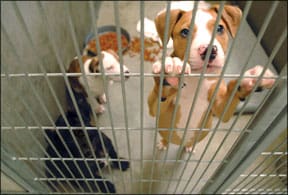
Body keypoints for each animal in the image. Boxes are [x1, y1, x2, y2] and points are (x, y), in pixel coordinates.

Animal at [147, 1, 276, 152]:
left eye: (220, 28)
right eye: (185, 32)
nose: (209, 50)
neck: (197, 79)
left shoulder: (221, 109)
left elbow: (230, 96)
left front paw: (248, 81)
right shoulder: (156, 110)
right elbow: (160, 96)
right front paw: (170, 72)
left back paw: (189, 146)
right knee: (166, 137)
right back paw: (163, 143)